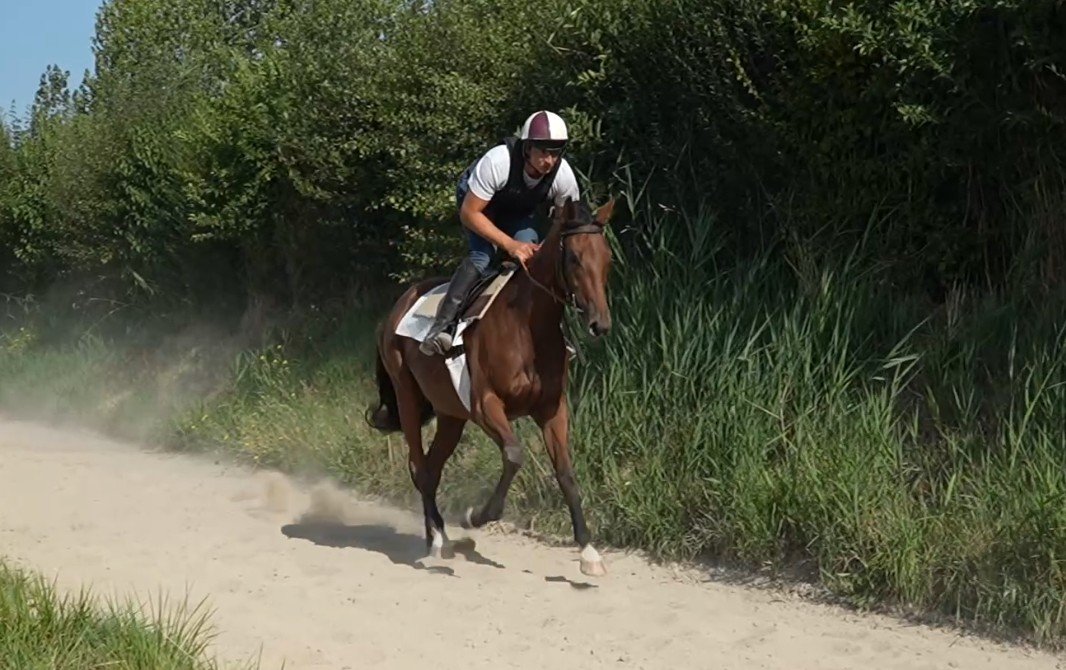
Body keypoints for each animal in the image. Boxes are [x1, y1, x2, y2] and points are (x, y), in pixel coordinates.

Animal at [366, 195, 616, 576]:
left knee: (431, 469)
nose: (599, 324)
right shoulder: (486, 405)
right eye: (574, 257)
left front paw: (589, 553)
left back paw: (437, 536)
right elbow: (514, 456)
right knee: (419, 468)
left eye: (607, 257)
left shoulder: (551, 410)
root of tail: (398, 306)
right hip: (408, 398)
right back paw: (437, 540)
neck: (527, 326)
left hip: (450, 415)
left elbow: (566, 473)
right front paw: (476, 516)